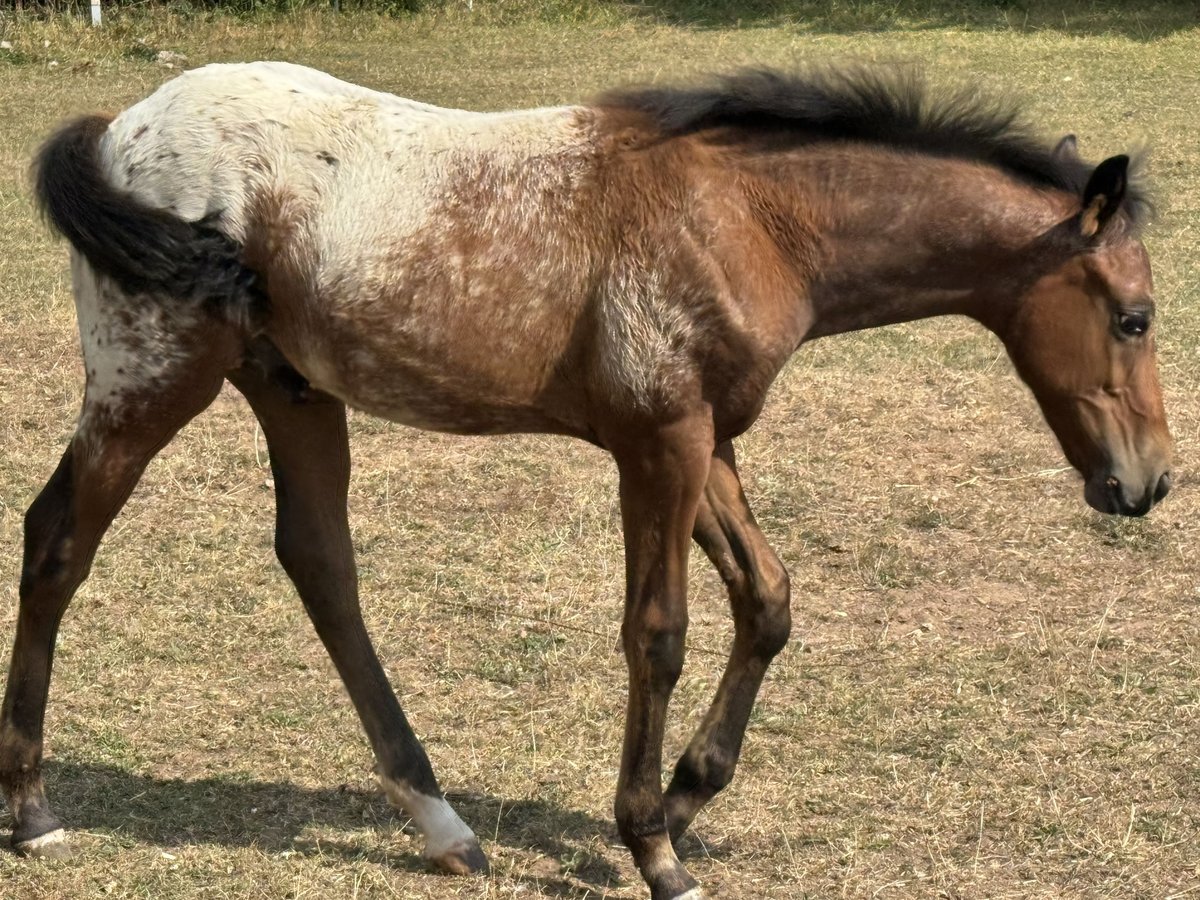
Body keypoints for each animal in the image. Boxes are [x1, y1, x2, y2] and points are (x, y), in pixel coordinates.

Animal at [2, 65, 1171, 900]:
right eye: (1136, 317)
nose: (1149, 484)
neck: (751, 218)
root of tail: (119, 125)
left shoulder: (705, 440)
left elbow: (769, 600)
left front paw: (690, 795)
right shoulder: (659, 444)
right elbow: (658, 633)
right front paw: (654, 847)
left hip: (291, 389)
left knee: (320, 564)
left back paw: (442, 824)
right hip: (152, 378)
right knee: (58, 538)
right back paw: (33, 809)